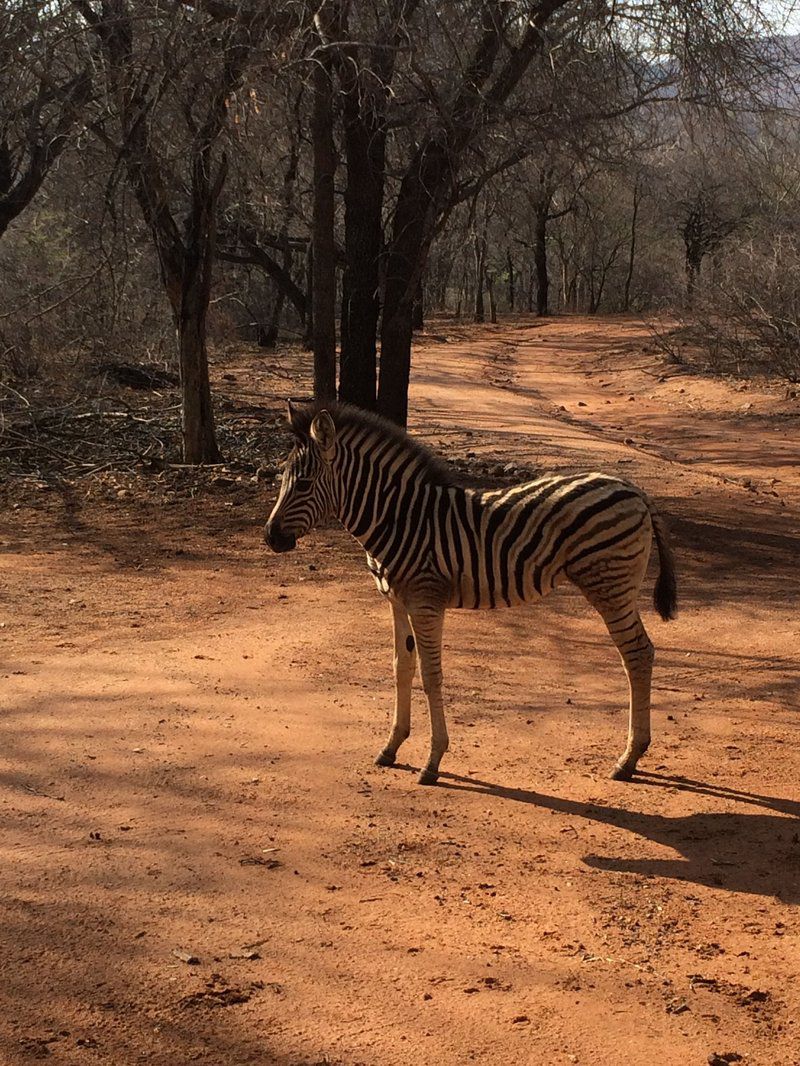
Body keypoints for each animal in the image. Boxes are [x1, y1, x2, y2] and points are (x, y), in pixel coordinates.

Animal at [267, 400, 678, 784]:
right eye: (282, 479)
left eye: (302, 484)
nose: (270, 538)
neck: (400, 519)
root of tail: (633, 489)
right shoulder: (397, 601)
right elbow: (402, 667)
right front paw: (391, 747)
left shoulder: (426, 601)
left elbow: (431, 675)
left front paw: (433, 762)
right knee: (640, 653)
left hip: (610, 586)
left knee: (638, 654)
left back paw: (628, 759)